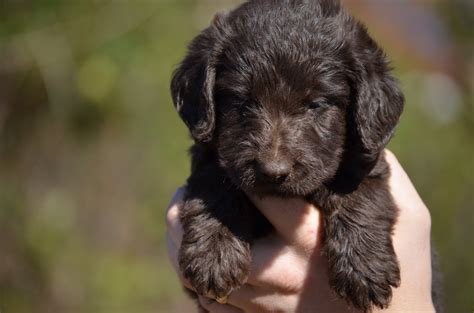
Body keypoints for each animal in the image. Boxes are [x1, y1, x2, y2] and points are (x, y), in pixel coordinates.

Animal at [170, 1, 430, 310]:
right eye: (243, 101)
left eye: (315, 104)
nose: (272, 172)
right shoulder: (211, 155)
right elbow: (214, 183)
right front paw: (214, 253)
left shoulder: (368, 160)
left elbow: (362, 195)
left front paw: (364, 269)